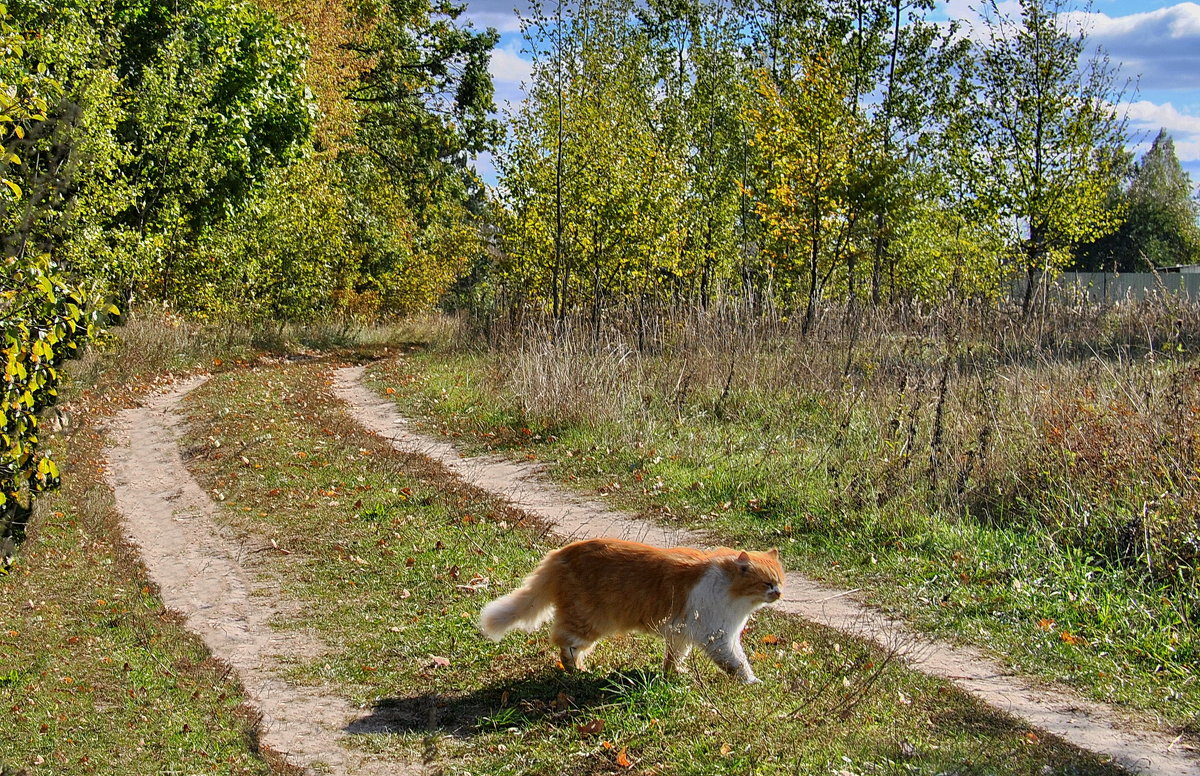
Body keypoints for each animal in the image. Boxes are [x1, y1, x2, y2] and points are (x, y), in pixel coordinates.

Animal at [477, 537, 787, 681]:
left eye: (781, 581)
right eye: (767, 583)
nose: (779, 593)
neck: (729, 590)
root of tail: (561, 553)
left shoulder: (681, 635)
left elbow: (674, 659)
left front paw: (674, 674)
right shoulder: (719, 638)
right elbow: (738, 664)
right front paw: (752, 682)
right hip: (588, 622)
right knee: (563, 642)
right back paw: (576, 670)